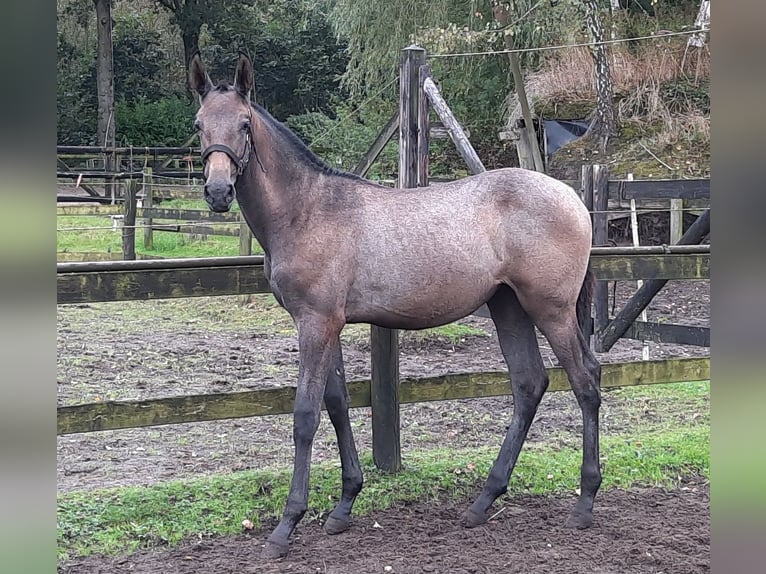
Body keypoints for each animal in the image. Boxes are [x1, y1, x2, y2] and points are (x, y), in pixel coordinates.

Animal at [189, 53, 604, 560]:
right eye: (200, 124)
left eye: (245, 124)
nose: (218, 192)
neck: (308, 211)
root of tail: (573, 198)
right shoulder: (326, 323)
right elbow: (337, 402)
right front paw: (344, 506)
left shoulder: (316, 323)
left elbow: (306, 415)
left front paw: (286, 526)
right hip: (508, 307)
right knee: (529, 384)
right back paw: (483, 501)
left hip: (552, 310)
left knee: (585, 382)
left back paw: (584, 504)